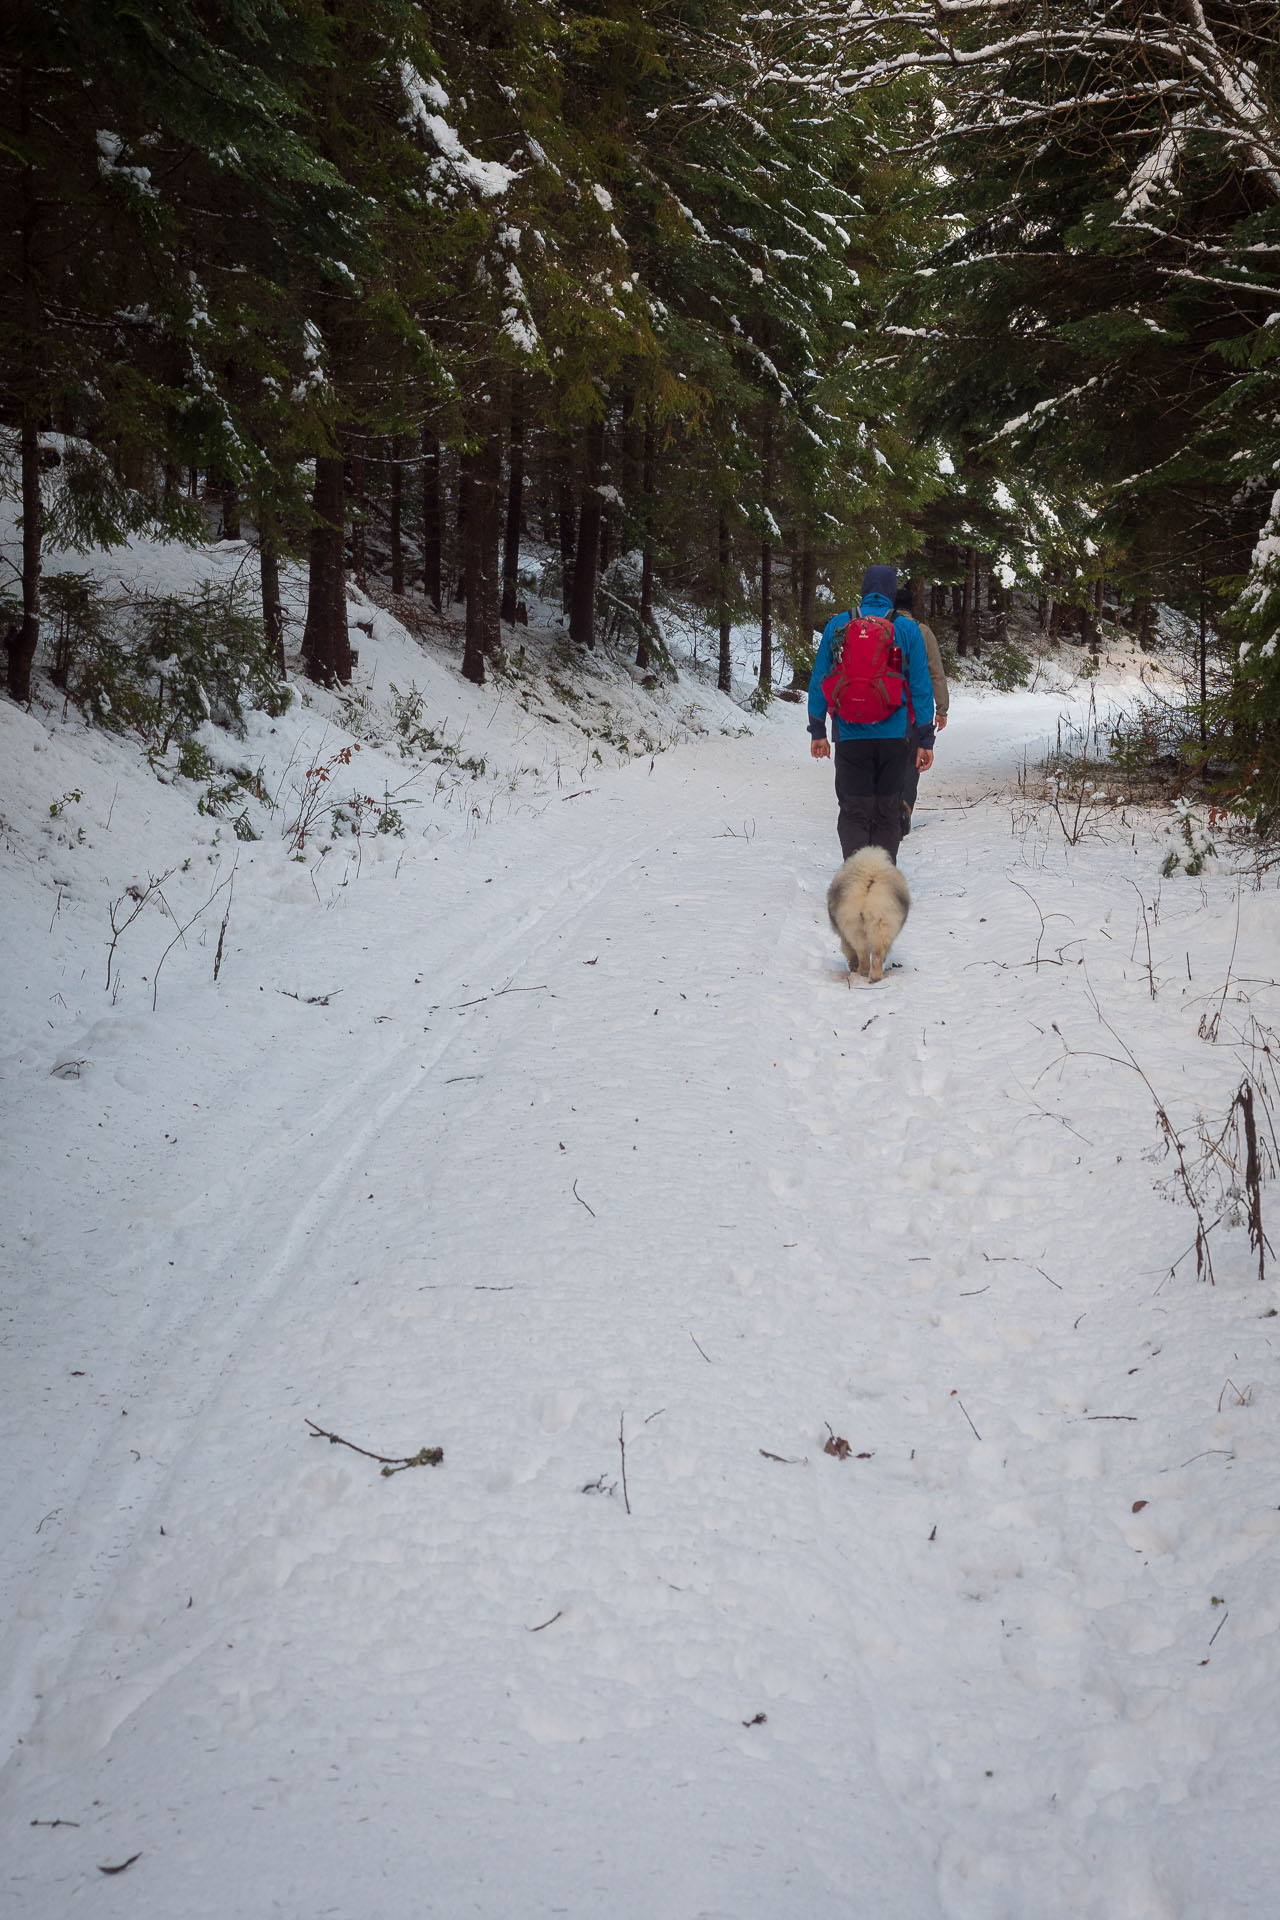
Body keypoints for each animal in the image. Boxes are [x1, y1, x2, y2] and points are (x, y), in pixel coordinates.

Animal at [832, 848, 909, 983]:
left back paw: (862, 972)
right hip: (881, 920)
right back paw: (875, 977)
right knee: (877, 953)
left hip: (854, 926)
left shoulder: (844, 937)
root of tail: (870, 877)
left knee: (862, 953)